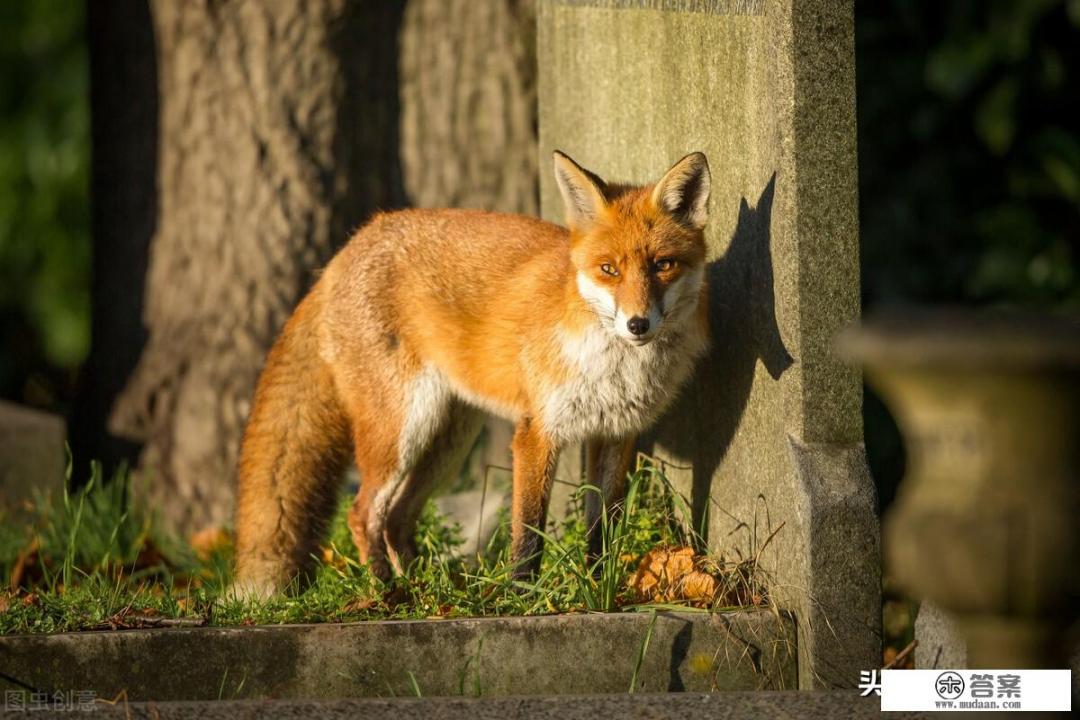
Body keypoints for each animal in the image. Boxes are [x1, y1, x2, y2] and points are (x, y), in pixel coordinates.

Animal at [232, 152, 712, 595]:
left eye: (663, 265)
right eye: (609, 269)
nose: (637, 324)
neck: (614, 369)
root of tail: (345, 250)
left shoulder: (615, 433)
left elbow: (602, 531)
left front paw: (598, 588)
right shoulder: (536, 432)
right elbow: (528, 532)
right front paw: (522, 596)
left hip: (447, 443)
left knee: (397, 518)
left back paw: (433, 589)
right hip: (402, 431)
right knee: (363, 512)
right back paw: (389, 593)